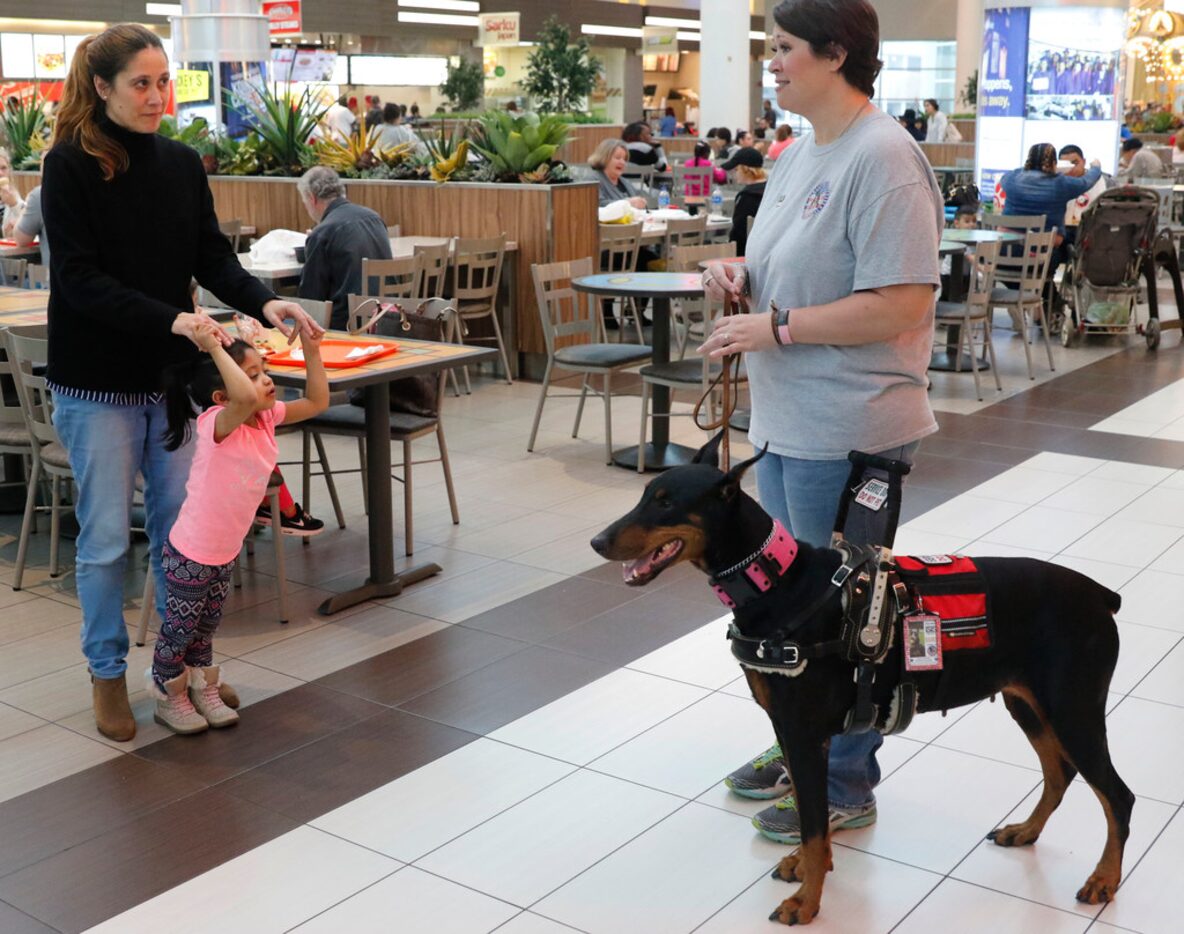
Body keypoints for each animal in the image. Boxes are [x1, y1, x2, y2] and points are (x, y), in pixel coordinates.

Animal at [592, 433, 1136, 923]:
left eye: (666, 503)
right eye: (644, 494)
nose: (597, 542)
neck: (780, 584)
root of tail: (1101, 595)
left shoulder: (803, 732)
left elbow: (815, 825)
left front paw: (806, 902)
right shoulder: (790, 729)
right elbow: (811, 816)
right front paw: (808, 867)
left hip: (1074, 708)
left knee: (1117, 795)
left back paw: (1104, 879)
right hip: (1028, 702)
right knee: (1060, 773)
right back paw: (1025, 830)